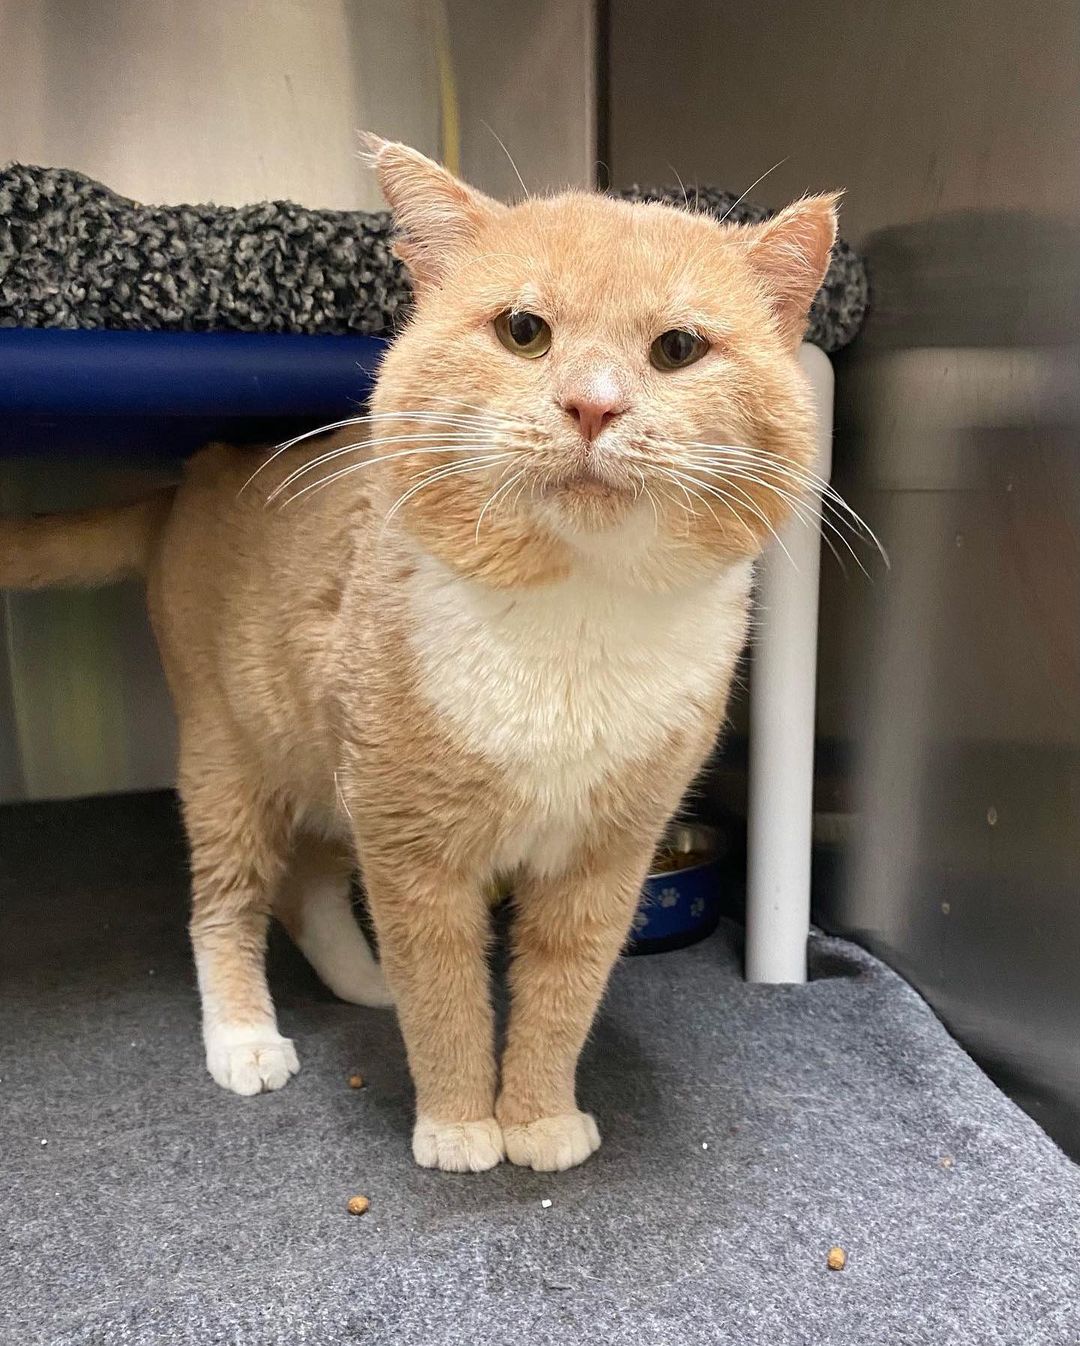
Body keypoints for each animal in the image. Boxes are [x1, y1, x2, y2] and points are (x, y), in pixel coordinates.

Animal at [0, 133, 834, 1168]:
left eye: (678, 349)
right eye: (524, 331)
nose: (592, 407)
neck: (576, 620)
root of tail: (188, 483)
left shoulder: (604, 859)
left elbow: (561, 996)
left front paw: (539, 1117)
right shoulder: (412, 849)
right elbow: (442, 991)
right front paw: (460, 1122)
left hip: (325, 763)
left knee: (309, 884)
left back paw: (364, 983)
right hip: (231, 756)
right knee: (228, 903)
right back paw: (245, 1037)